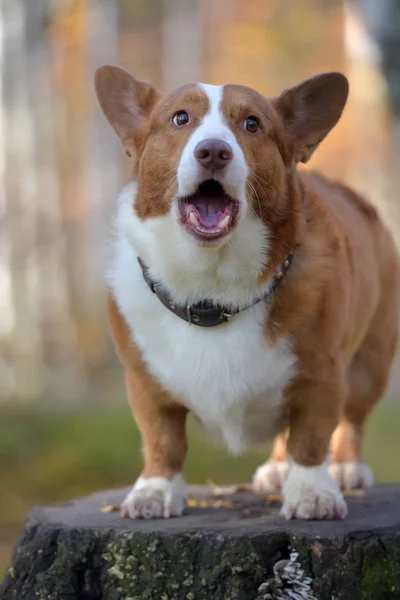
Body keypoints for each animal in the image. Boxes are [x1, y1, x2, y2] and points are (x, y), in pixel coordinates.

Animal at [95, 67, 398, 520]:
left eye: (252, 124)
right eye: (180, 119)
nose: (213, 152)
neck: (212, 290)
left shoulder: (321, 374)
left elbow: (310, 437)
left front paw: (312, 493)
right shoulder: (145, 381)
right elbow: (163, 441)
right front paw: (154, 491)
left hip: (368, 366)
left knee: (350, 418)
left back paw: (345, 467)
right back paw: (277, 471)